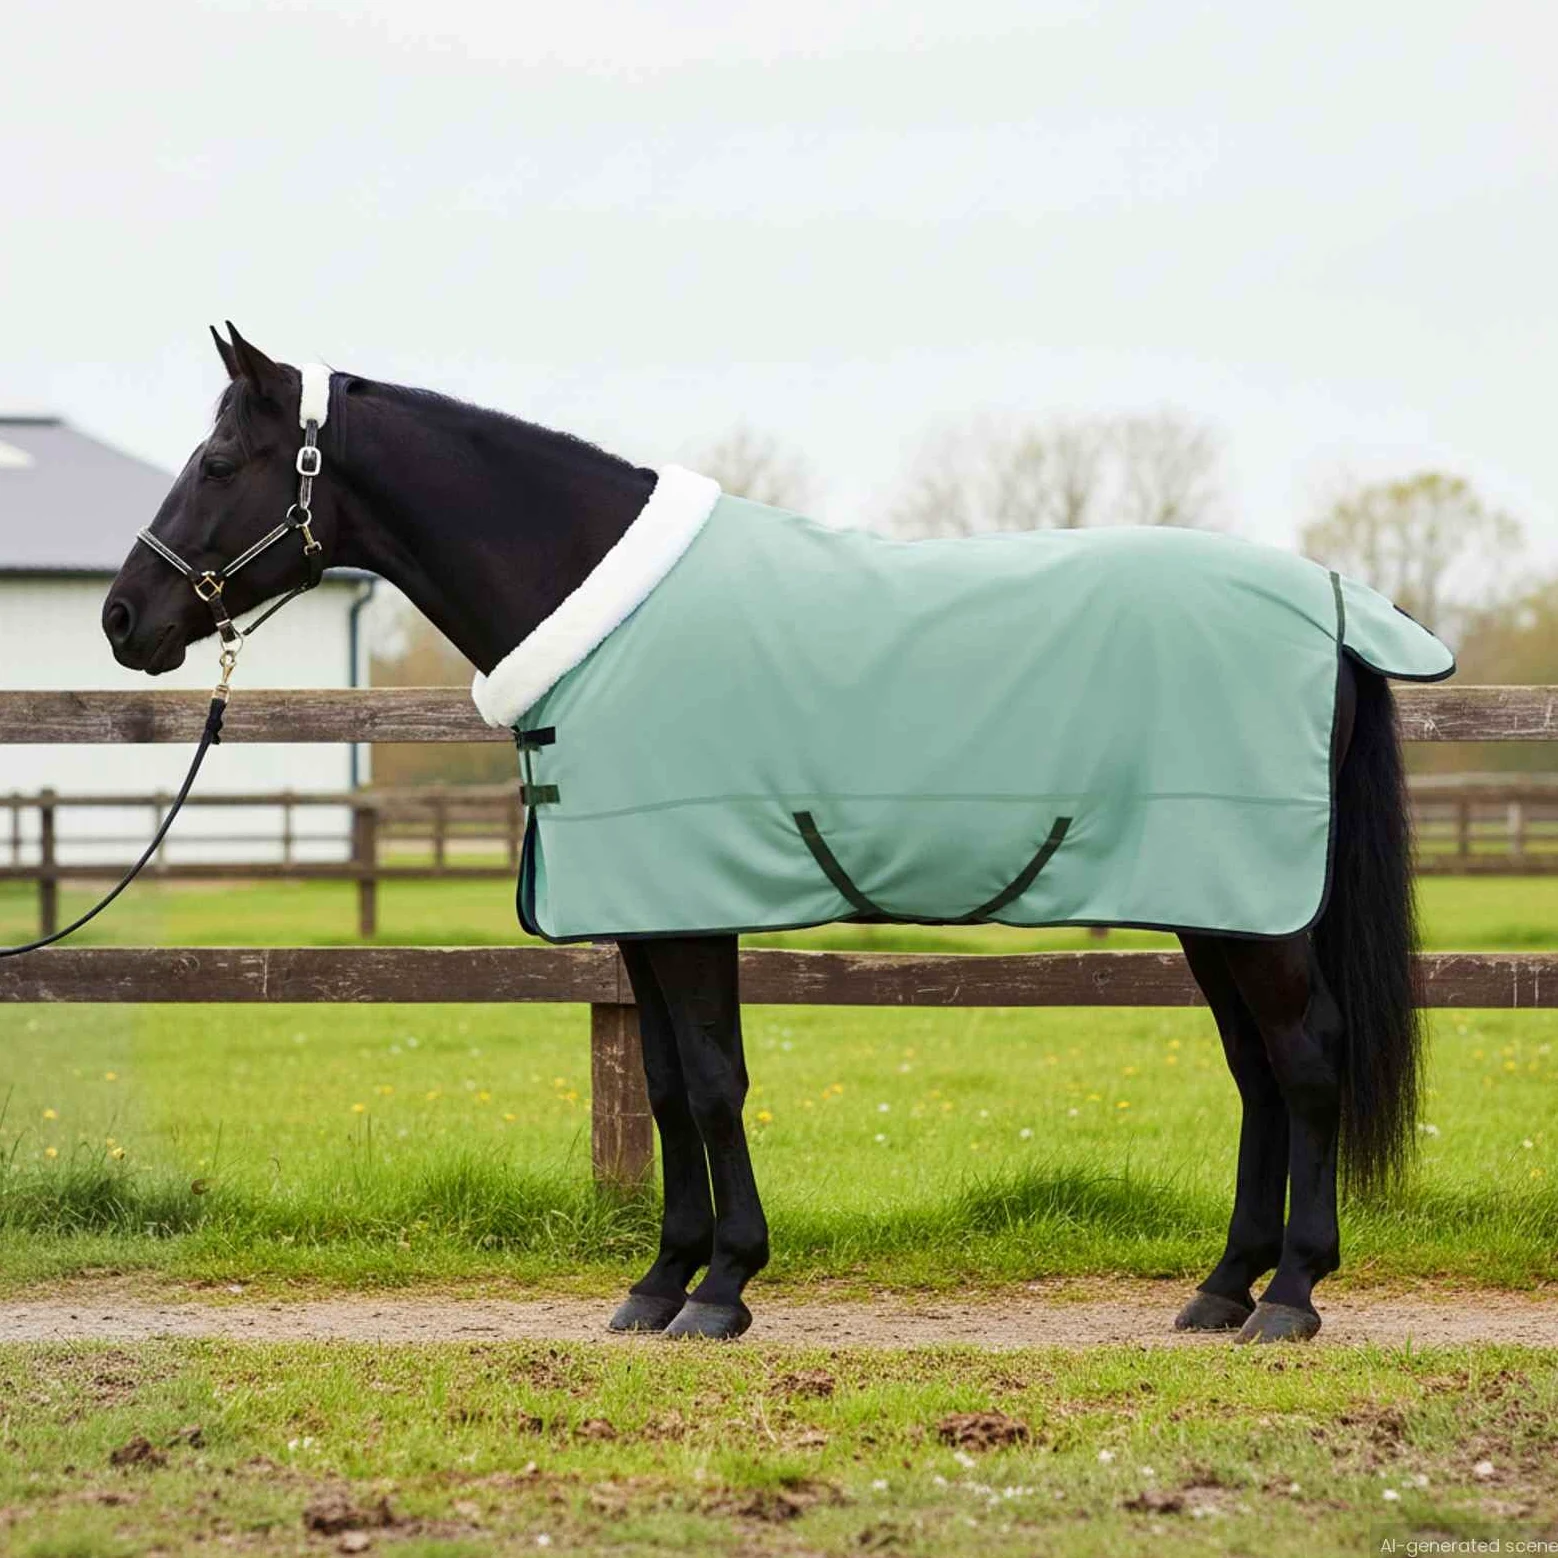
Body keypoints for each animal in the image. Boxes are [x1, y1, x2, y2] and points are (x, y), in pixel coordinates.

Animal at [102, 326, 1430, 1344]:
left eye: (220, 458)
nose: (124, 616)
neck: (598, 608)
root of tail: (1332, 605)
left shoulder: (688, 908)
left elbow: (710, 1082)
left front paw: (723, 1286)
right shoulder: (643, 915)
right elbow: (665, 1087)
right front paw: (660, 1282)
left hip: (1257, 911)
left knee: (1307, 1059)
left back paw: (1290, 1295)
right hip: (1220, 904)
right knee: (1258, 1074)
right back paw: (1220, 1288)